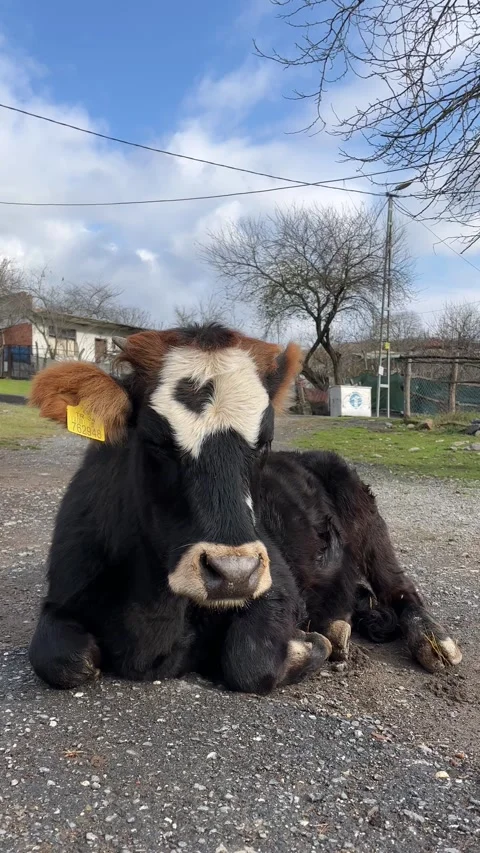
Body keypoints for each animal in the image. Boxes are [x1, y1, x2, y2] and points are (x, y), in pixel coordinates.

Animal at [27, 323, 462, 694]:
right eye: (156, 441)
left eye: (264, 441)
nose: (234, 574)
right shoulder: (63, 592)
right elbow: (60, 659)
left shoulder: (276, 583)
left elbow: (249, 660)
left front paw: (310, 646)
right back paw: (343, 624)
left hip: (366, 519)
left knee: (400, 587)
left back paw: (430, 640)